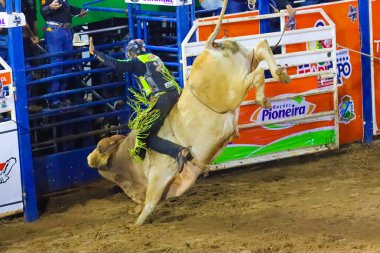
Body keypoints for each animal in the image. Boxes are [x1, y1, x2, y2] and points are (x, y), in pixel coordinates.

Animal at [88, 0, 290, 225]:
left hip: (232, 91)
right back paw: (280, 74)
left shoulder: (159, 175)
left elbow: (149, 202)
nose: (89, 158)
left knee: (257, 74)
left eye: (100, 147)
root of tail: (210, 47)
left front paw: (136, 223)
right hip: (247, 60)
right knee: (262, 47)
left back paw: (264, 96)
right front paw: (133, 212)